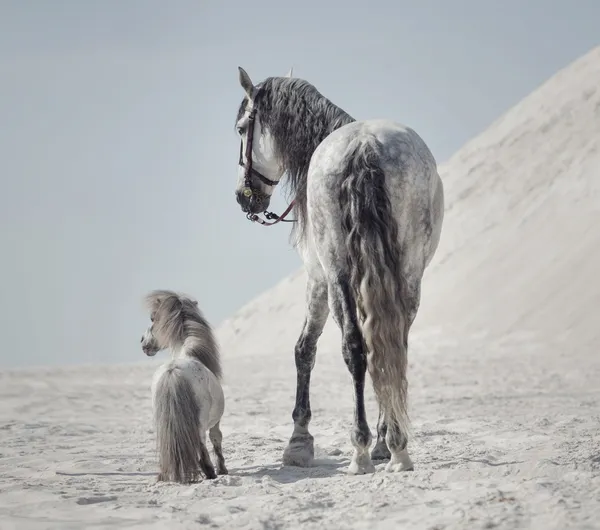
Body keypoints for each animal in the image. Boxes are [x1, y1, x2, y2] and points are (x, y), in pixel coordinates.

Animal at [141, 288, 227, 482]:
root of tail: (173, 371)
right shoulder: (216, 422)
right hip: (199, 424)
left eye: (152, 318)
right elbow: (216, 439)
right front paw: (223, 469)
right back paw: (210, 473)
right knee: (202, 447)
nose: (143, 342)